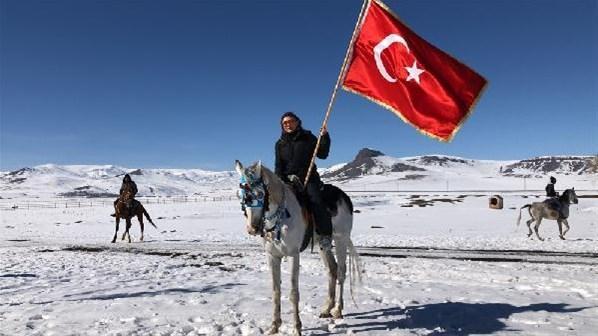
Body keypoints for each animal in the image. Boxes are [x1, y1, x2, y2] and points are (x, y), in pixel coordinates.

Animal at [237, 161, 364, 334]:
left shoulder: (293, 255)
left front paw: (297, 328)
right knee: (332, 269)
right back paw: (327, 309)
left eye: (260, 194)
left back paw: (338, 310)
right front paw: (274, 326)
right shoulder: (272, 256)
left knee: (341, 272)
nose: (253, 228)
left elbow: (293, 292)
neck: (281, 218)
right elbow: (276, 291)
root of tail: (344, 197)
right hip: (323, 245)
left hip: (341, 239)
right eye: (240, 194)